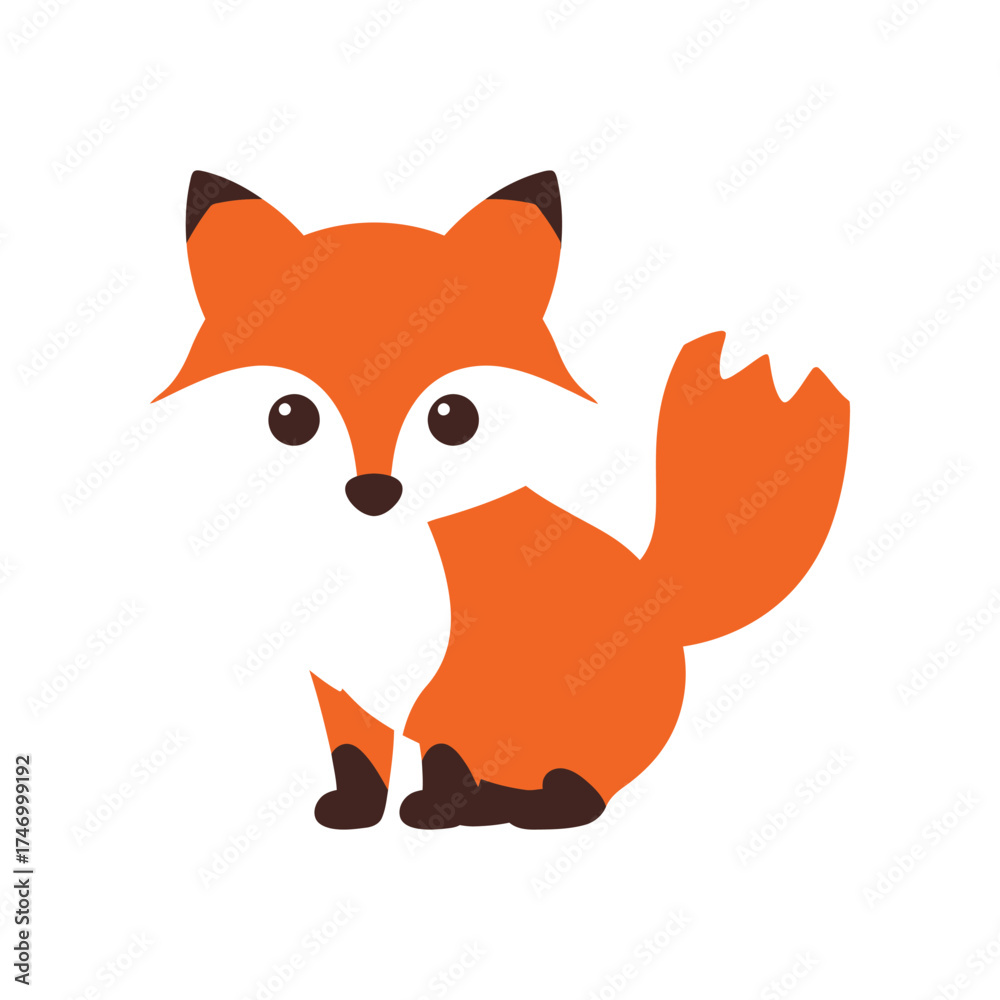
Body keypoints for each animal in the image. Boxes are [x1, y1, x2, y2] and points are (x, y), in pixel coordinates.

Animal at [156, 169, 849, 830]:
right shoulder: (341, 690)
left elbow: (444, 761)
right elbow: (356, 759)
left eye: (452, 415)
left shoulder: (458, 692)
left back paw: (530, 809)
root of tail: (662, 594)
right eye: (291, 415)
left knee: (578, 789)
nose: (373, 492)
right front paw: (356, 812)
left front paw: (439, 814)